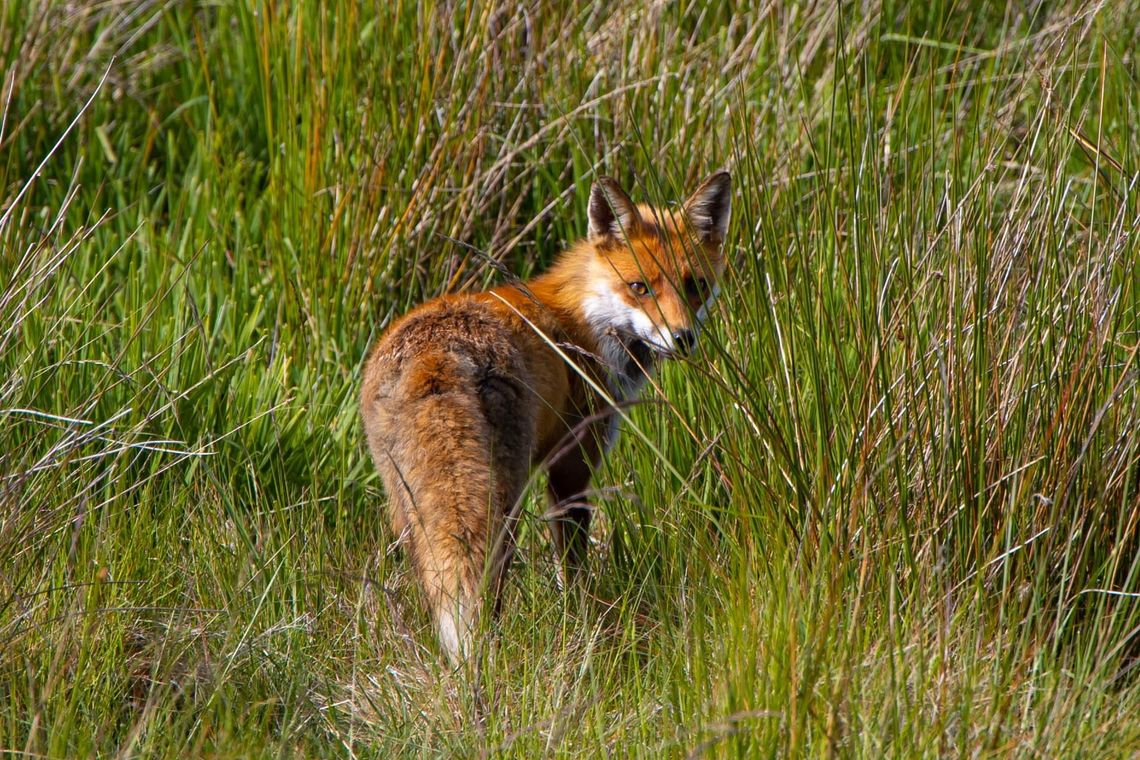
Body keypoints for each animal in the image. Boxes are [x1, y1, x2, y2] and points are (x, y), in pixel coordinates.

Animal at [357, 169, 729, 660]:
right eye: (640, 287)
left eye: (694, 285)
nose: (682, 338)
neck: (587, 322)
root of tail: (436, 358)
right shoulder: (571, 466)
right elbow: (572, 569)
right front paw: (583, 622)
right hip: (502, 500)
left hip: (407, 503)